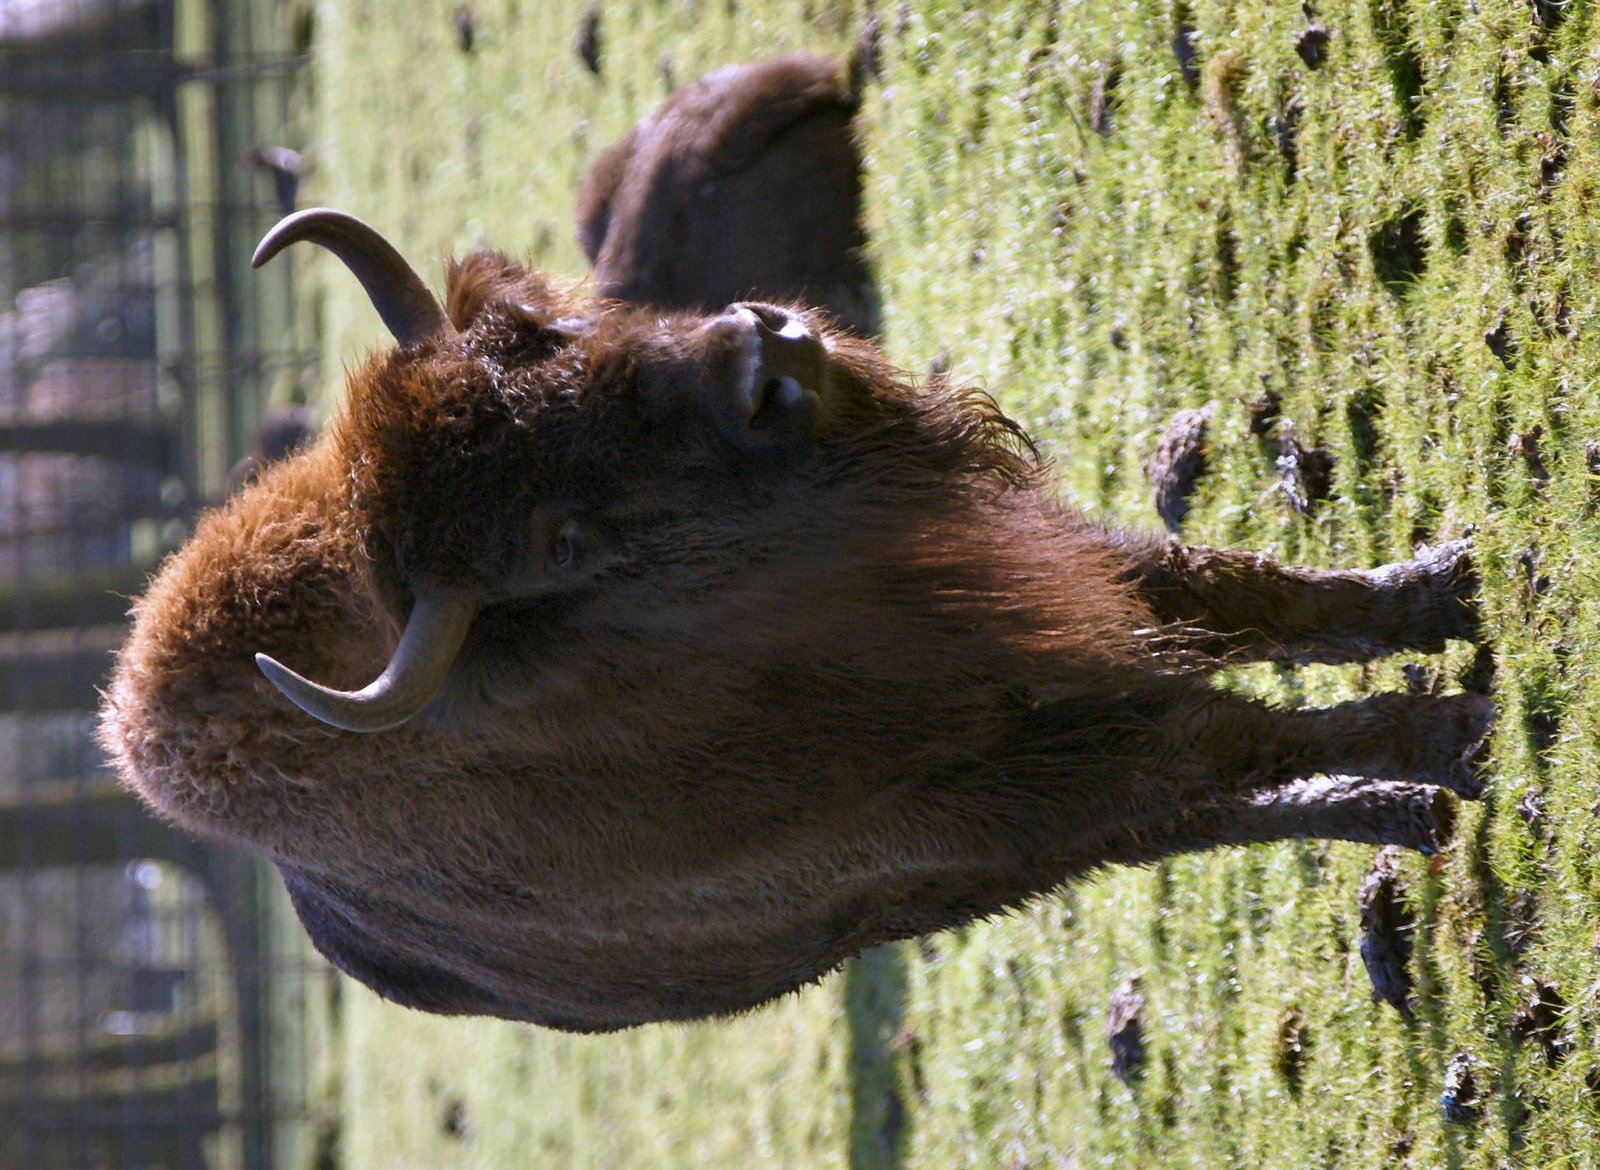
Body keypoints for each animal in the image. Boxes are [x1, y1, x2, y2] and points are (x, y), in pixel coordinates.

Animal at [99, 209, 1490, 1032]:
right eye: (557, 542)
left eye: (543, 334)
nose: (764, 351)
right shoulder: (992, 771)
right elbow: (1229, 730)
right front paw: (1452, 747)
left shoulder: (1039, 591)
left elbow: (1238, 598)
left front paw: (1444, 587)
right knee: (1186, 811)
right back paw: (1402, 806)